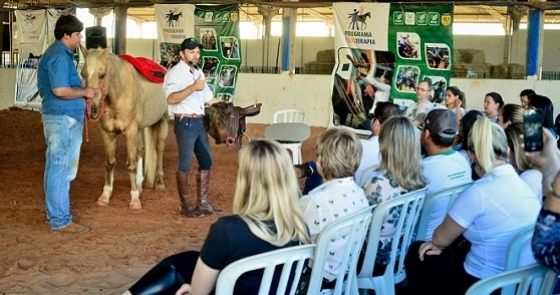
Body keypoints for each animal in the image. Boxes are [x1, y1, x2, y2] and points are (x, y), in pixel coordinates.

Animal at [80, 45, 168, 209]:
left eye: (102, 75)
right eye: (83, 74)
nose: (91, 110)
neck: (118, 94)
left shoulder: (130, 132)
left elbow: (131, 165)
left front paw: (134, 200)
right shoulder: (108, 133)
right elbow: (109, 163)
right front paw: (105, 196)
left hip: (162, 122)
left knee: (159, 150)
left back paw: (159, 183)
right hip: (140, 129)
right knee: (141, 150)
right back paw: (139, 184)